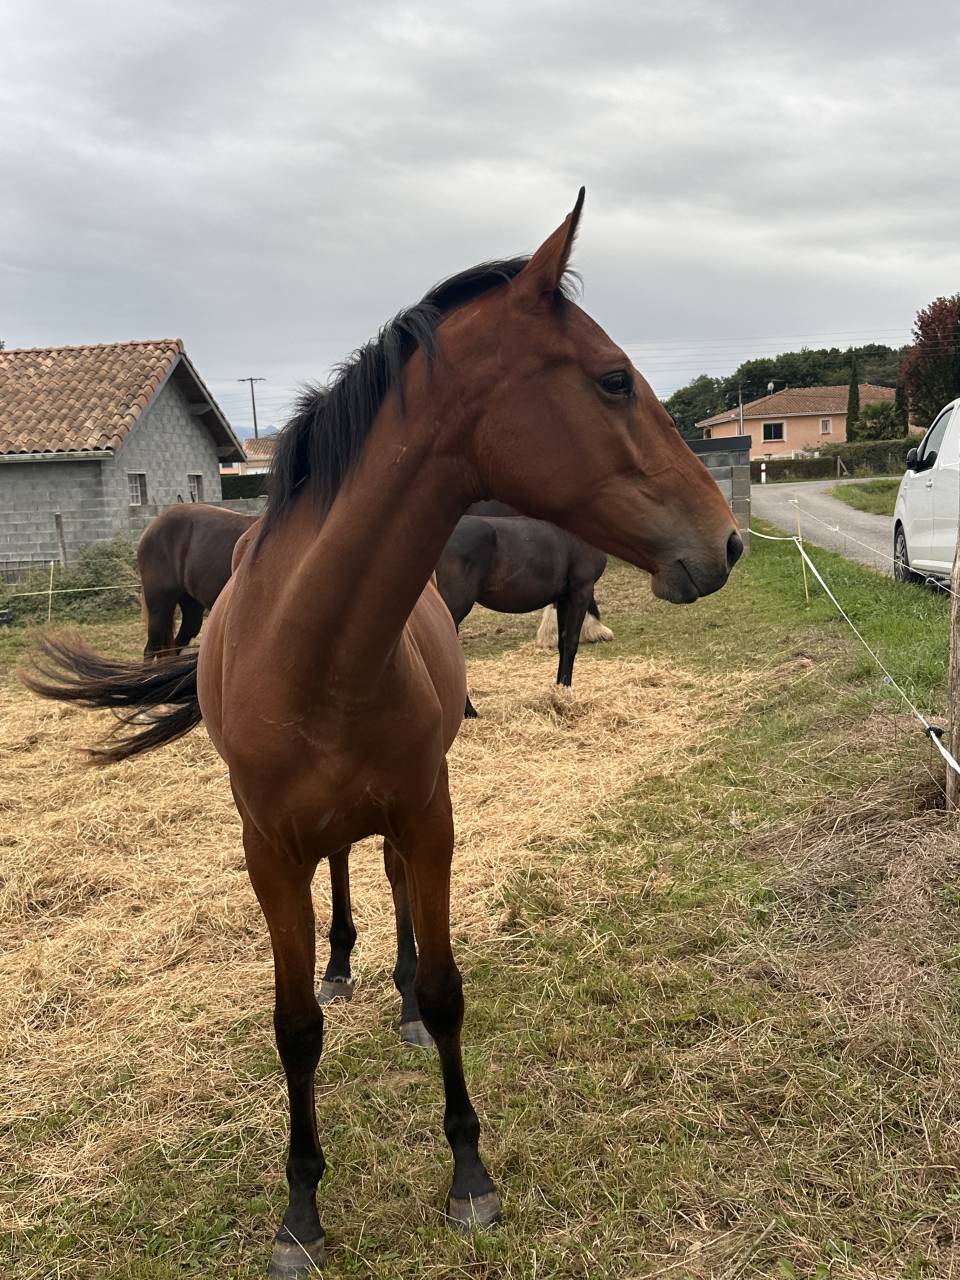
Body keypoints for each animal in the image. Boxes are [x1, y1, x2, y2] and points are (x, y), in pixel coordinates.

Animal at [436, 514, 607, 716]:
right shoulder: (581, 591)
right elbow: (571, 644)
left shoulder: (564, 598)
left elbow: (563, 643)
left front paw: (558, 693)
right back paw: (468, 710)